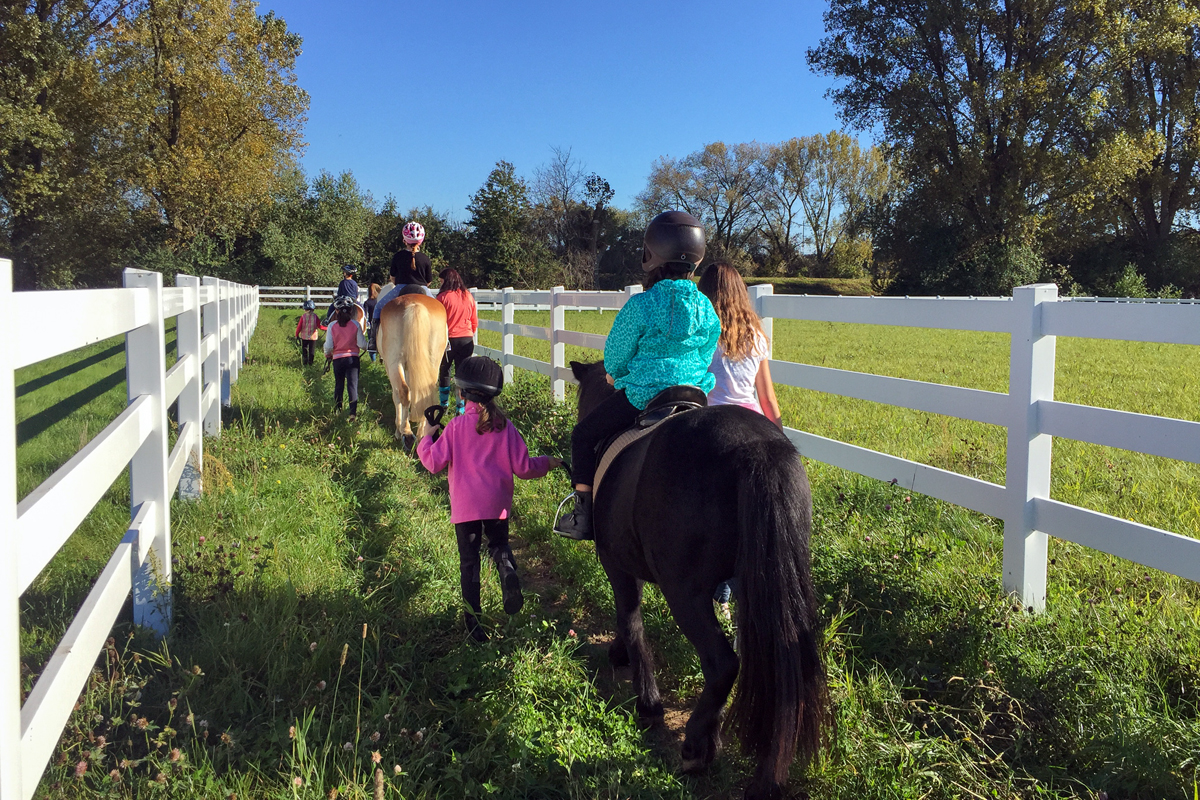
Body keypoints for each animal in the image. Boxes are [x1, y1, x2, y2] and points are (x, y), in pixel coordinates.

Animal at [376, 292, 448, 443]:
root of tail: (415, 304)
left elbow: (397, 395)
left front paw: (399, 429)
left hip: (394, 363)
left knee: (403, 391)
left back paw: (406, 431)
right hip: (433, 363)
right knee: (425, 393)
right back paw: (421, 434)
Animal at [568, 362, 830, 800]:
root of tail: (756, 447)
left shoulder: (617, 562)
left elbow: (630, 618)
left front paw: (647, 702)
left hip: (685, 593)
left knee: (722, 662)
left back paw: (695, 747)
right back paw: (758, 772)